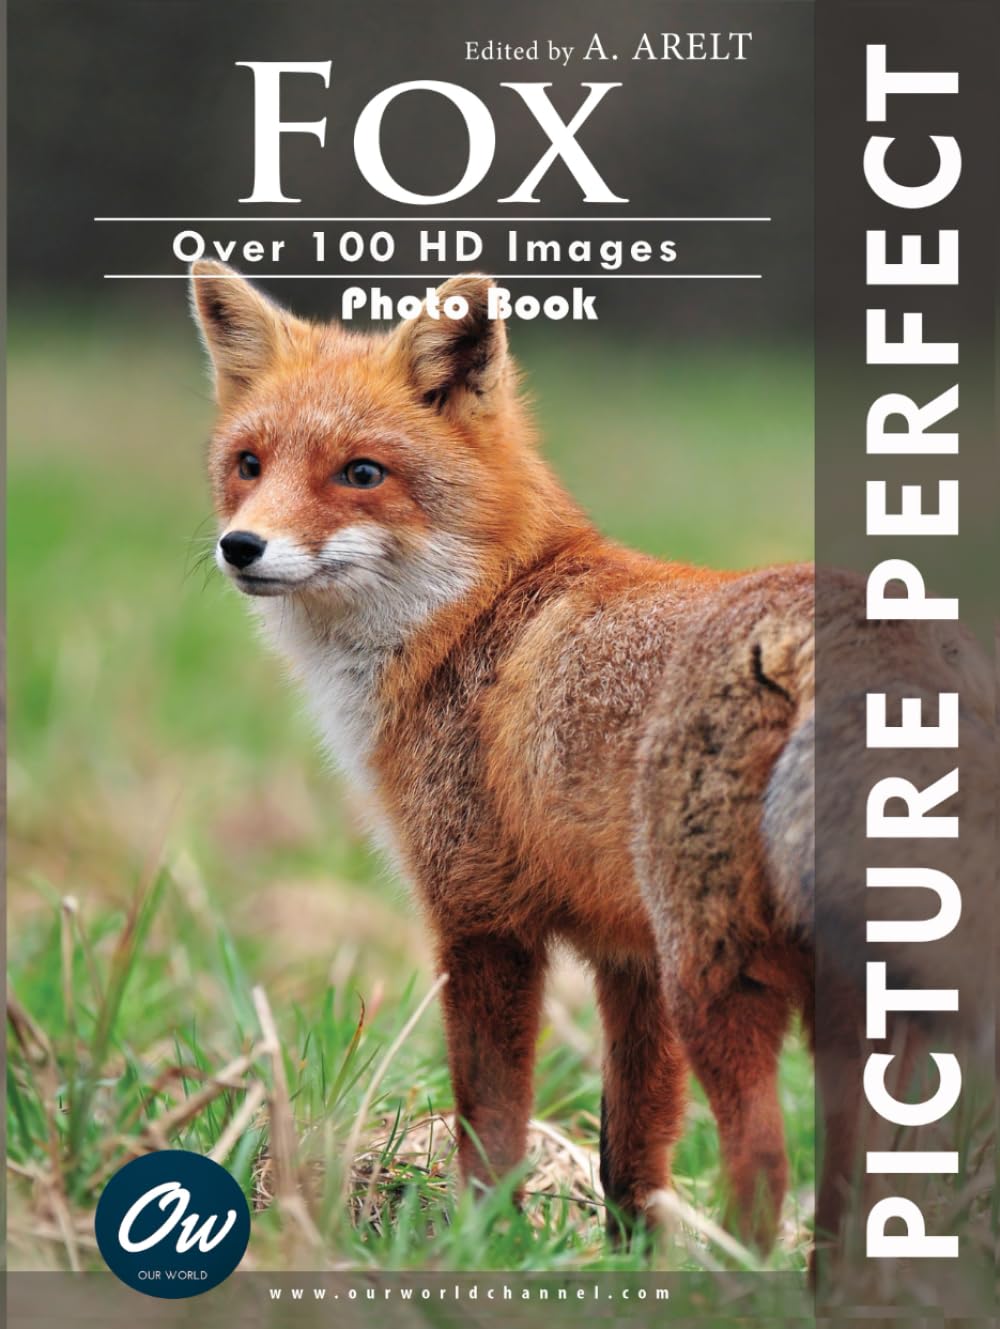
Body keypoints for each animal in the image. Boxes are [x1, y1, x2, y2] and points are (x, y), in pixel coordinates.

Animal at [188, 261, 991, 1257]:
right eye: (249, 465)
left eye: (362, 473)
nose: (241, 546)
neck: (479, 614)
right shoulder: (628, 955)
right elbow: (630, 1154)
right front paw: (629, 1261)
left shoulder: (481, 918)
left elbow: (491, 1123)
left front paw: (486, 1246)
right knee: (866, 1189)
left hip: (719, 976)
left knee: (765, 1162)